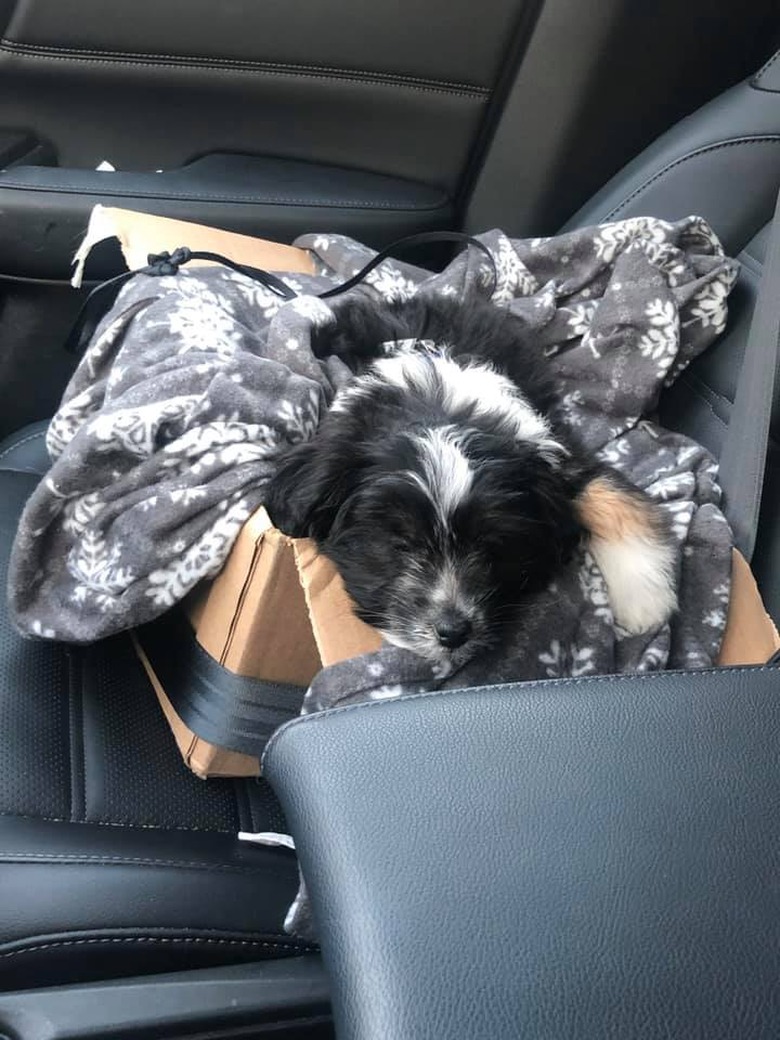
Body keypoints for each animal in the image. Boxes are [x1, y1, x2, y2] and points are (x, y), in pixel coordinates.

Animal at [264, 295, 678, 673]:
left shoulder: (557, 453)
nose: (452, 632)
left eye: (490, 546)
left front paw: (644, 597)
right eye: (400, 545)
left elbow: (608, 495)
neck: (437, 406)